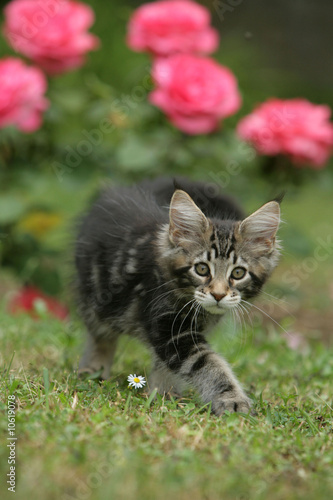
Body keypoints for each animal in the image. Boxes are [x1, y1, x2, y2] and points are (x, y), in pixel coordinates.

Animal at [75, 178, 280, 416]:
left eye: (238, 273)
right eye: (201, 269)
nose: (218, 294)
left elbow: (166, 363)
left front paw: (163, 394)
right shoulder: (170, 328)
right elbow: (207, 363)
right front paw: (232, 399)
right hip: (95, 297)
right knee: (100, 336)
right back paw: (93, 371)